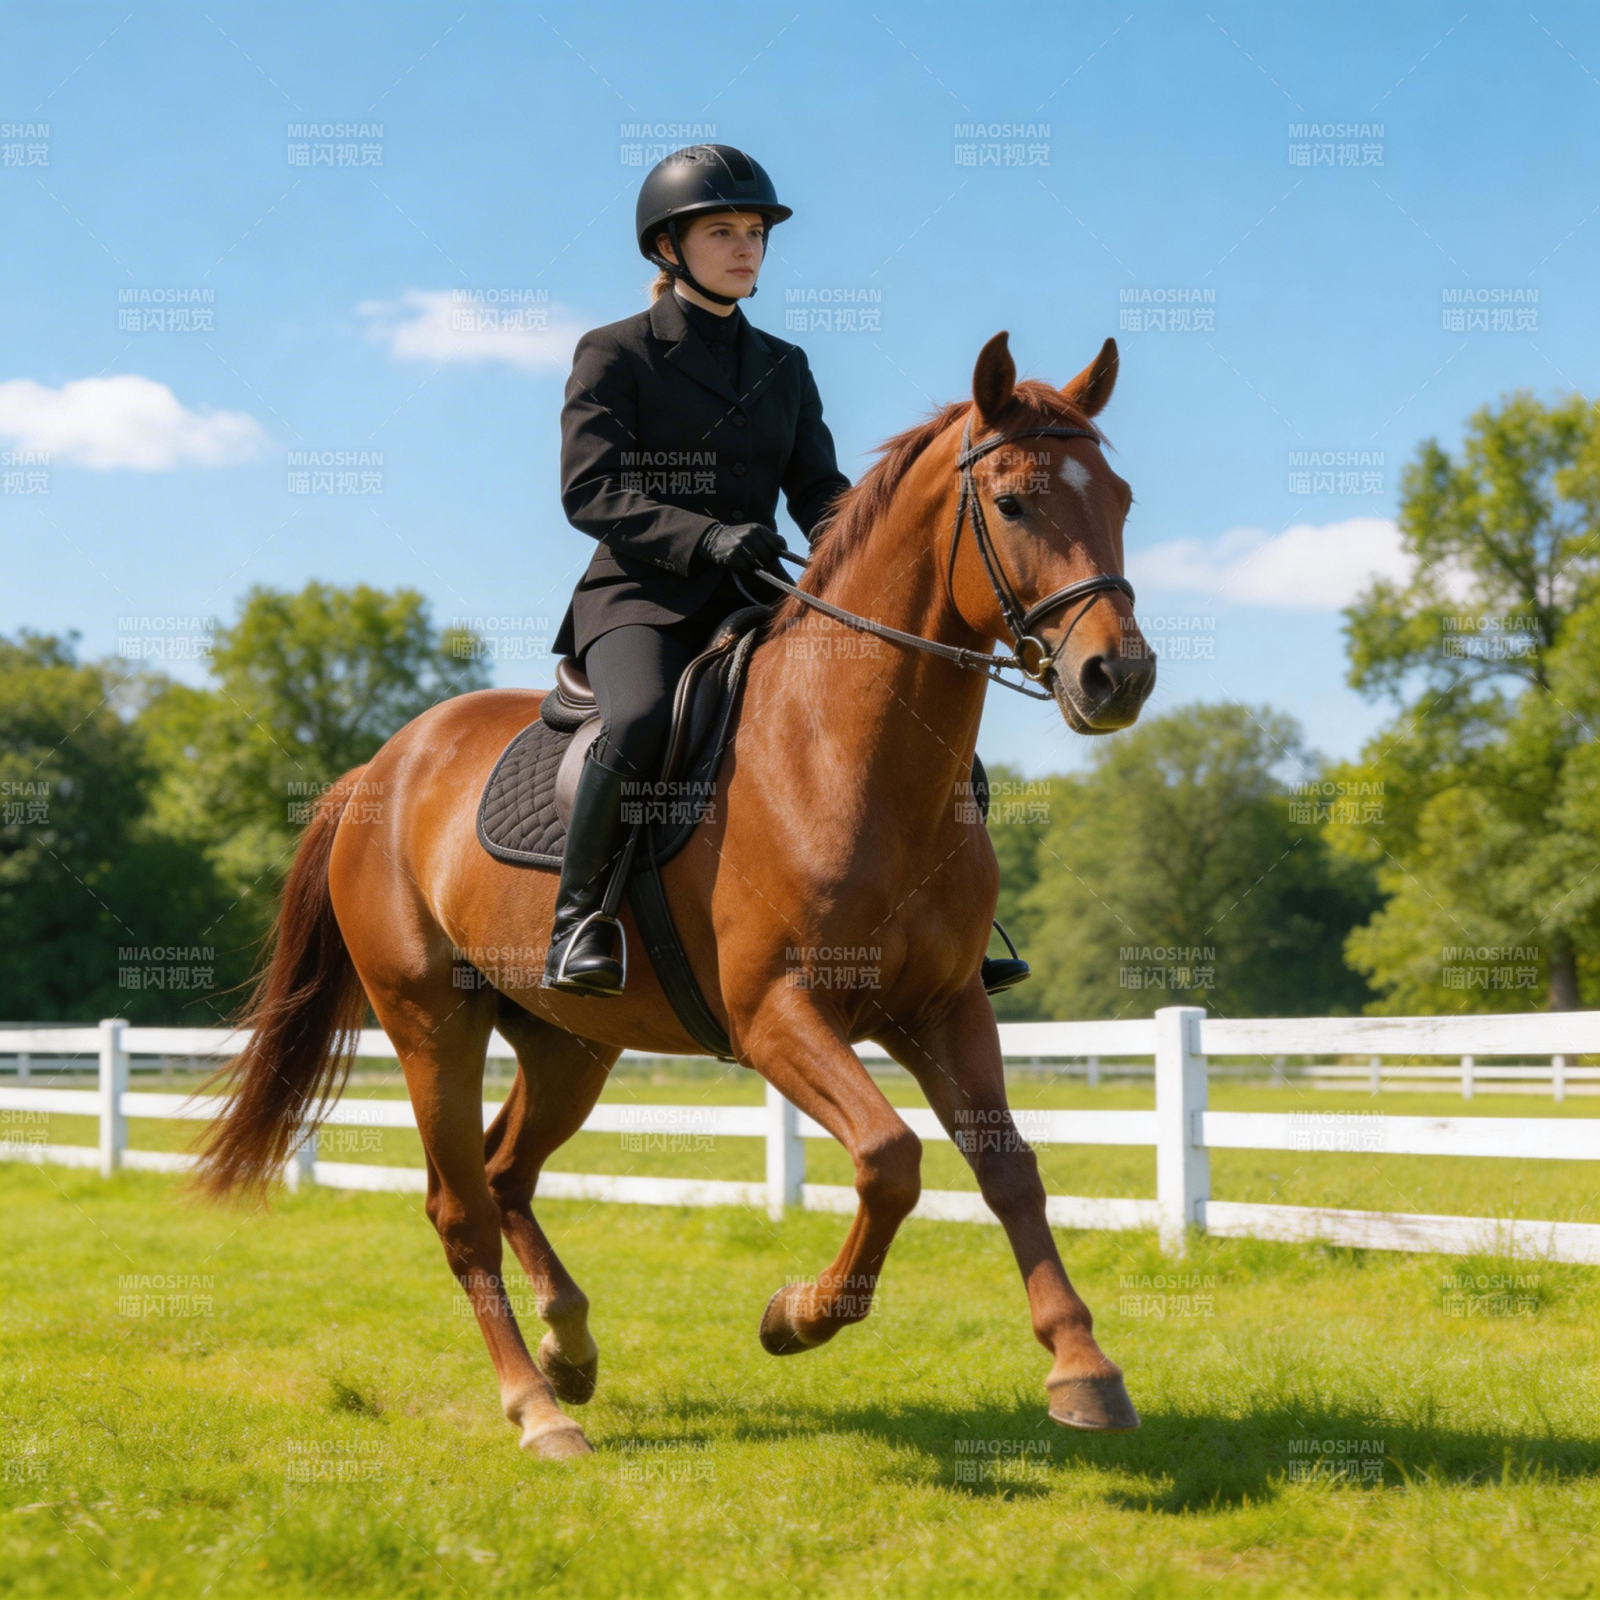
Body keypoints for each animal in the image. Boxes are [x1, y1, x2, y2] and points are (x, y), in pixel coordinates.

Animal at [196, 331, 1156, 1460]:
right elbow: (889, 1158)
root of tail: (376, 772)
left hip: (568, 1043)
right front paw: (795, 1316)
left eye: (1121, 497)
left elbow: (1009, 1169)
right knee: (460, 1206)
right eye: (1011, 503)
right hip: (430, 1020)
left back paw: (570, 1347)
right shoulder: (775, 1012)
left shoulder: (945, 1004)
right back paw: (536, 1409)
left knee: (507, 1172)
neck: (845, 750)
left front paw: (1083, 1367)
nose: (1118, 678)